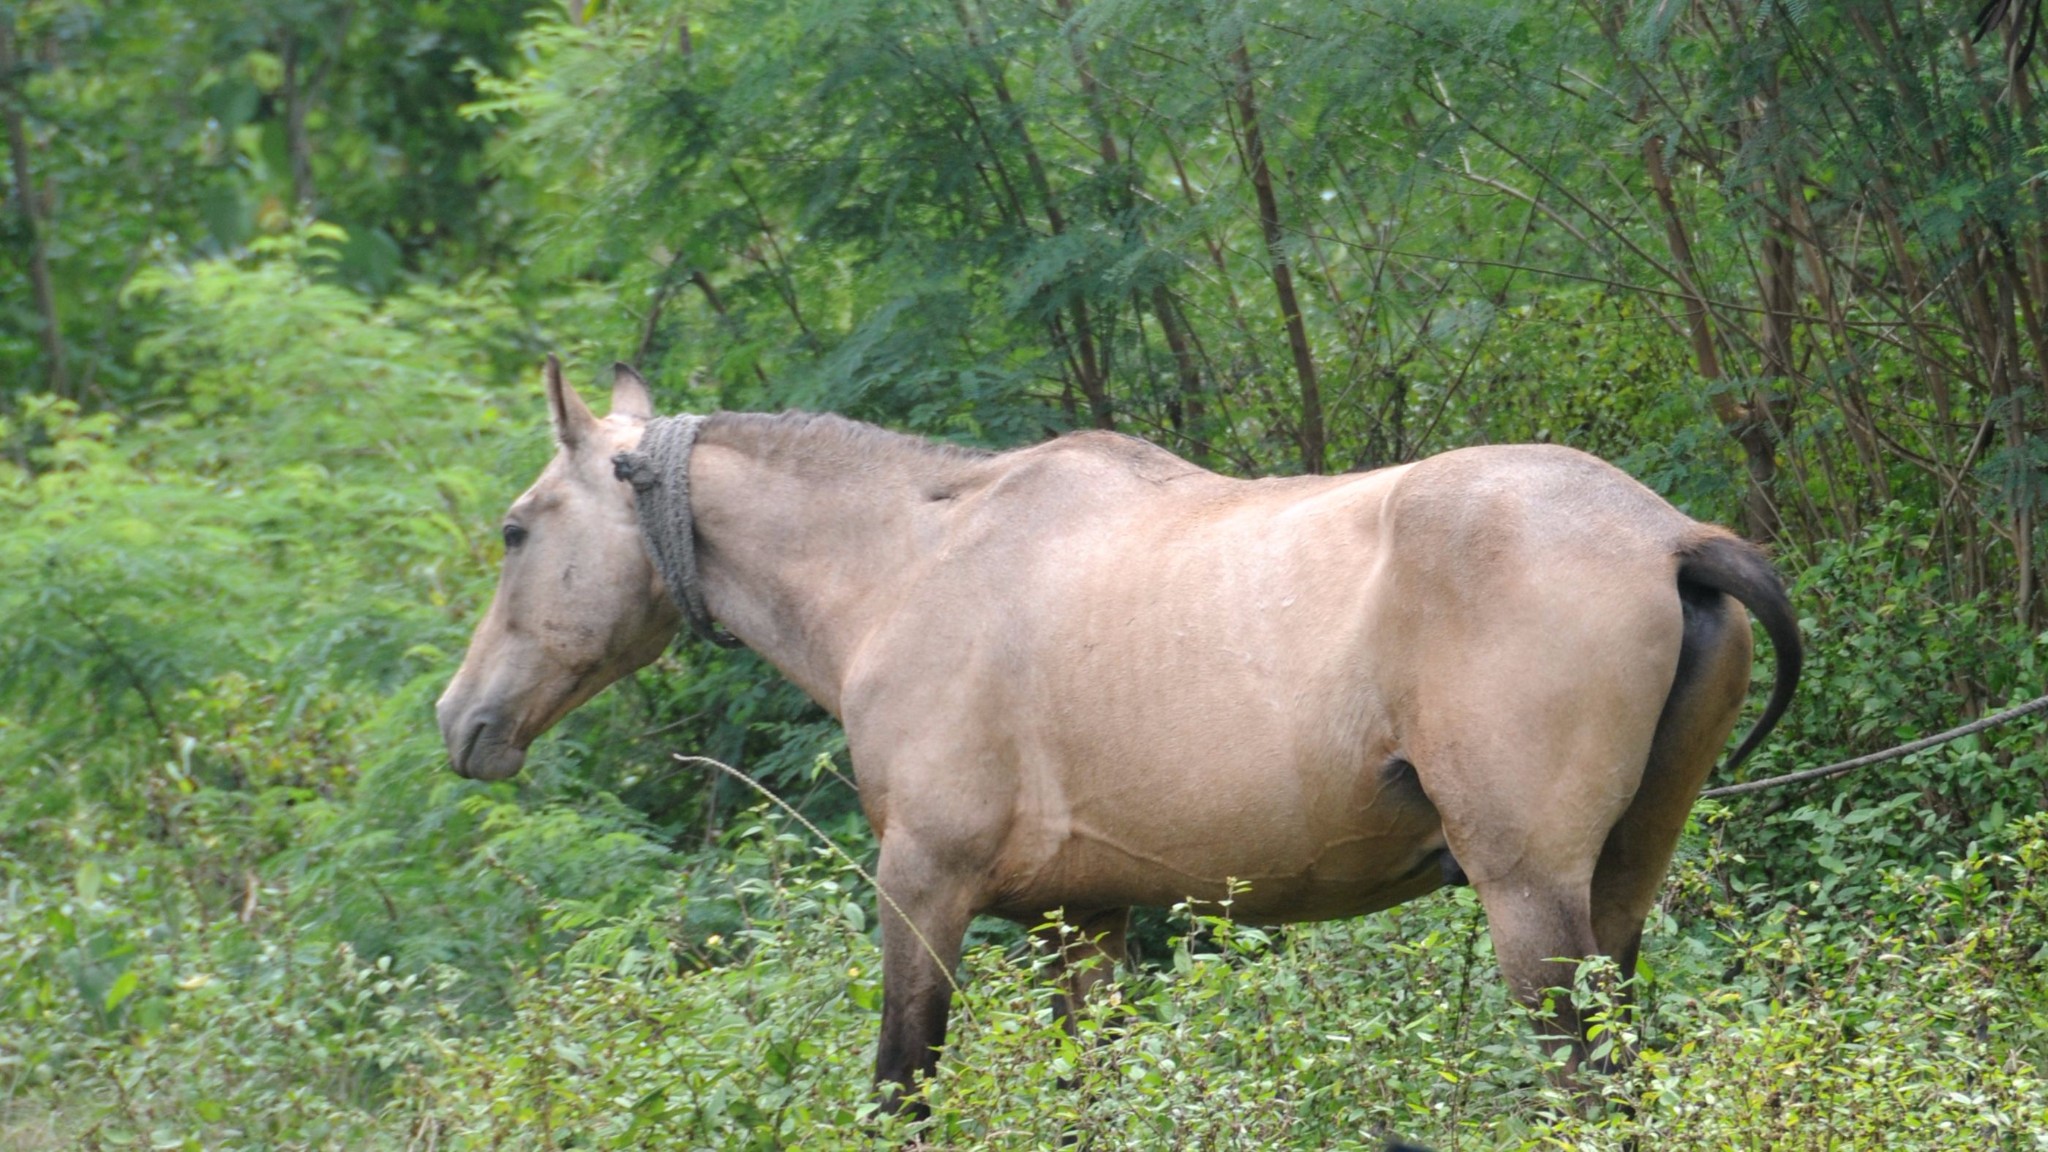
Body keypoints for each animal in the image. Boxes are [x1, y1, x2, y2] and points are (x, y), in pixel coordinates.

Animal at [432, 356, 1794, 1115]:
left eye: (514, 528)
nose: (461, 720)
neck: (913, 564)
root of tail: (1670, 538)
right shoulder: (1076, 925)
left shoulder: (922, 887)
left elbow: (900, 1086)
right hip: (1612, 897)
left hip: (1530, 906)